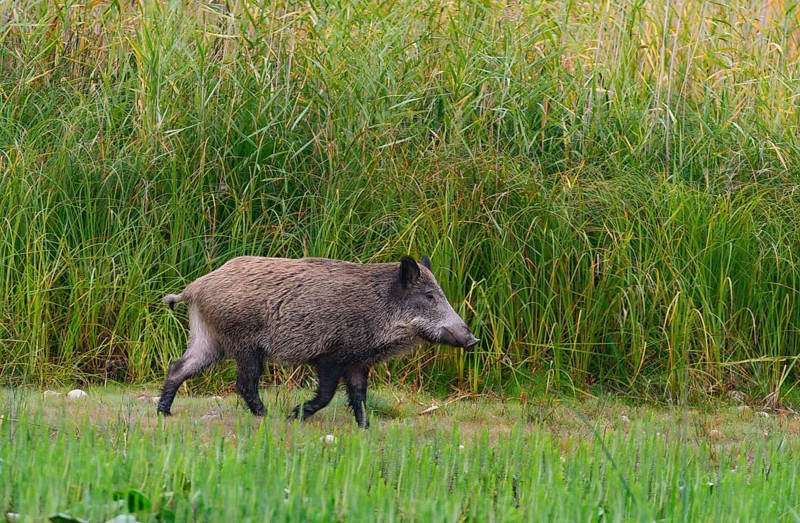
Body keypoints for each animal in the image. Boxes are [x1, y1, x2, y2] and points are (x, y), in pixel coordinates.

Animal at [157, 255, 479, 427]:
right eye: (429, 296)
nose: (473, 339)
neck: (380, 310)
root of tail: (195, 287)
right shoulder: (331, 356)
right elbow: (326, 394)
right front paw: (294, 415)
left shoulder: (358, 362)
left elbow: (359, 395)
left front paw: (365, 428)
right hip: (244, 344)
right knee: (244, 382)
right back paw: (267, 416)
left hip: (210, 339)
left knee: (179, 366)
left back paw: (164, 413)